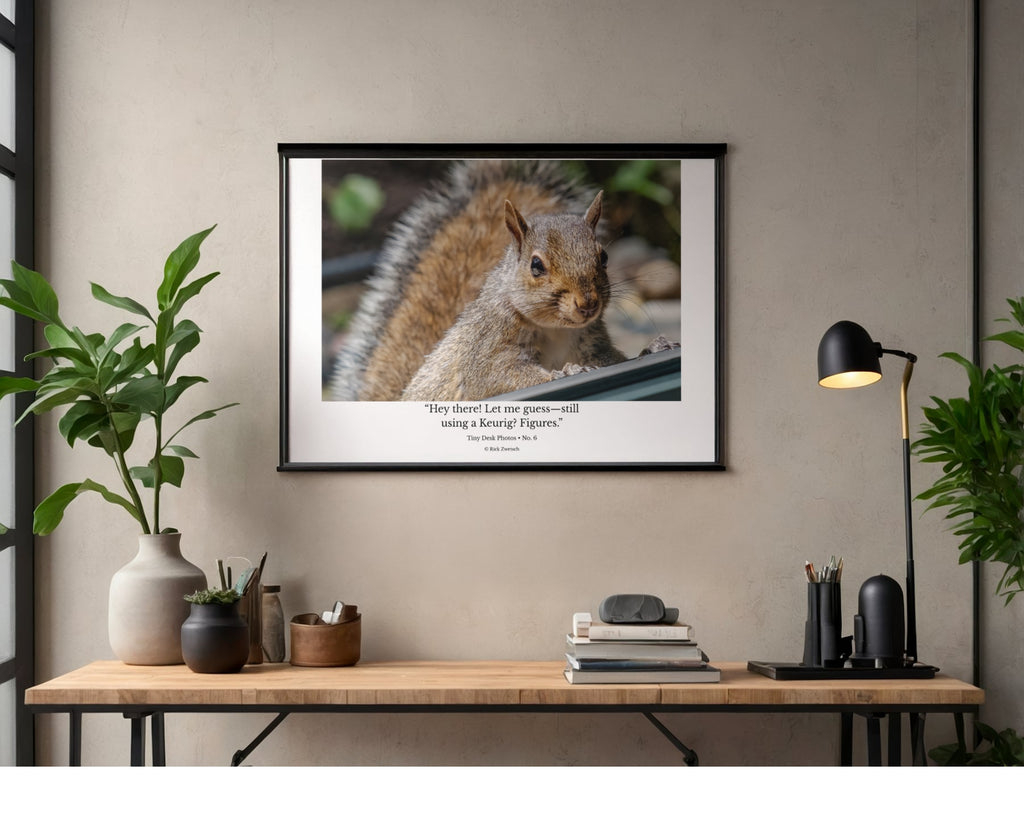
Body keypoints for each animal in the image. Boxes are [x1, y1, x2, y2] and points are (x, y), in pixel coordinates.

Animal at [330, 160, 673, 402]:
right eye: (536, 265)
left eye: (603, 257)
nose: (587, 303)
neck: (556, 330)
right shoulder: (487, 347)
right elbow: (496, 378)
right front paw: (565, 373)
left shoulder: (593, 343)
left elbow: (614, 361)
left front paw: (653, 349)